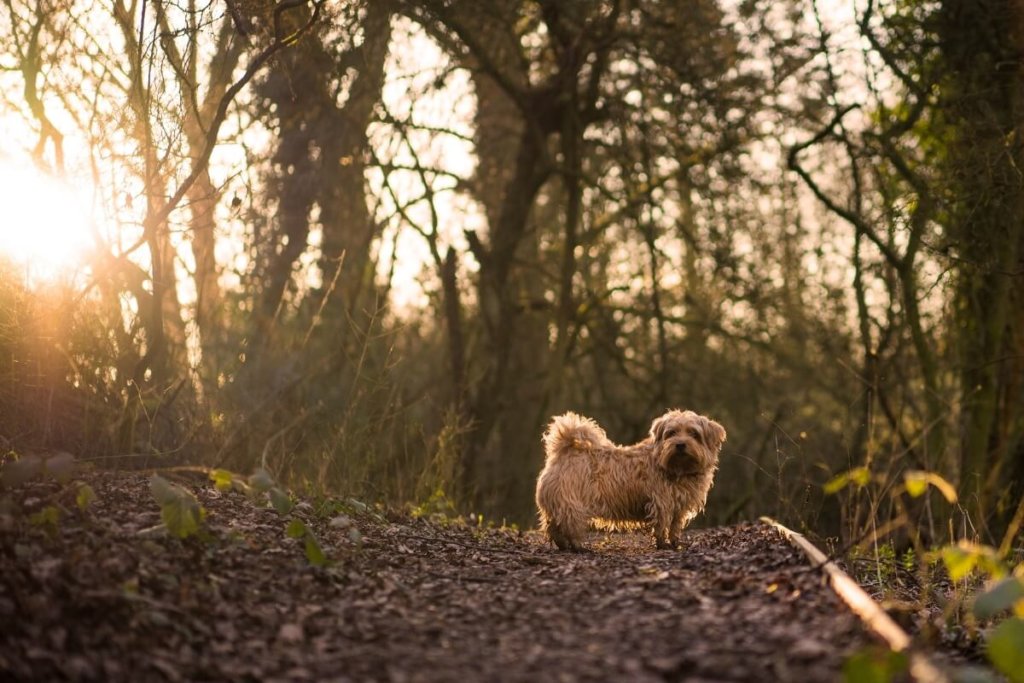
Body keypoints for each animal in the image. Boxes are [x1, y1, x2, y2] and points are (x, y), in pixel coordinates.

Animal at [536, 411, 729, 548]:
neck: (677, 468)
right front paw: (663, 544)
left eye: (694, 433)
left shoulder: (679, 506)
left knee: (553, 526)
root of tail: (563, 451)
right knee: (568, 525)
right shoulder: (662, 502)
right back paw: (577, 546)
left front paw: (674, 542)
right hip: (572, 505)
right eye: (671, 433)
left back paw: (563, 545)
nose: (680, 444)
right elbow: (661, 525)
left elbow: (675, 525)